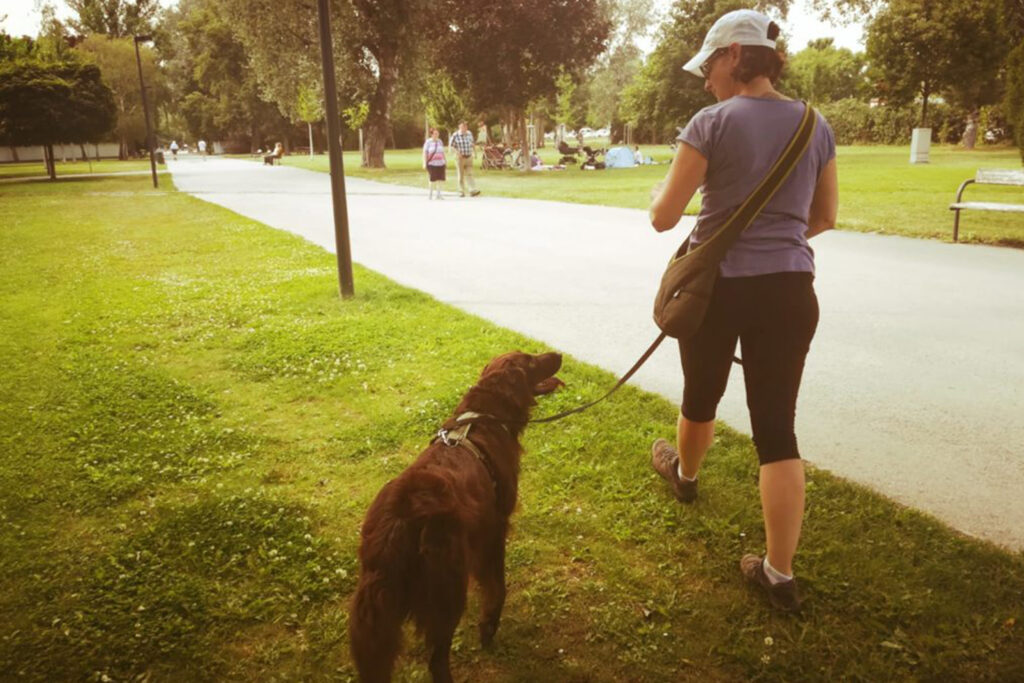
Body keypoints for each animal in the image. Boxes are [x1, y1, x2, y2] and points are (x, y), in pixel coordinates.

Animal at [350, 352, 561, 683]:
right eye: (530, 360)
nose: (559, 355)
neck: (485, 416)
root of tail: (402, 515)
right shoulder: (494, 530)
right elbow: (497, 588)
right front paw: (488, 629)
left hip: (374, 609)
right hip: (447, 591)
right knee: (437, 659)